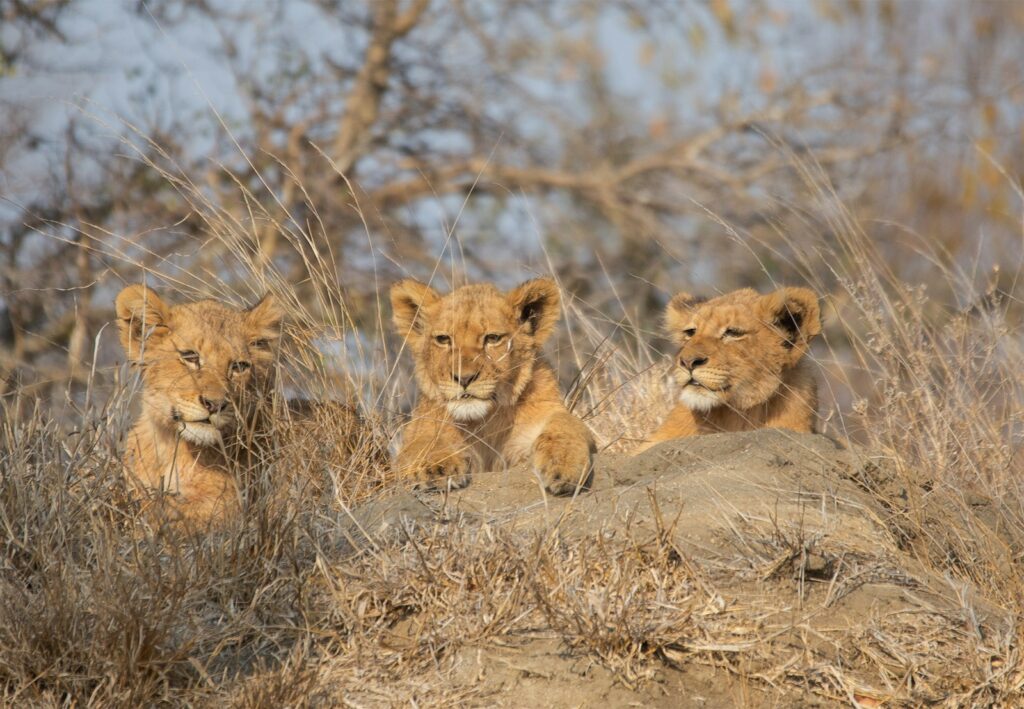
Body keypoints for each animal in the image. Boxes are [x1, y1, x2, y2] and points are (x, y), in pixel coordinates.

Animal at [390, 277, 595, 494]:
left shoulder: (545, 415)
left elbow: (567, 424)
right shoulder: (421, 428)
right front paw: (435, 468)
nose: (464, 378)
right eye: (443, 339)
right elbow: (423, 442)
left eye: (493, 338)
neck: (484, 421)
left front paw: (563, 465)